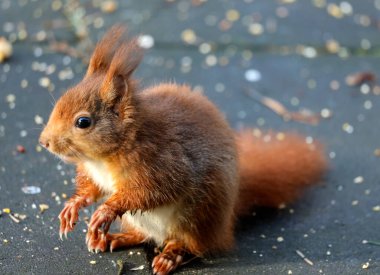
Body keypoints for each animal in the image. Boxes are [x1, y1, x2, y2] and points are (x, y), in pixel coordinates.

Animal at [40, 25, 328, 274]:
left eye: (83, 122)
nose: (44, 142)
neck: (103, 158)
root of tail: (226, 221)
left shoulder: (162, 164)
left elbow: (148, 192)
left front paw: (106, 210)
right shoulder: (95, 173)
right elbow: (91, 189)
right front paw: (75, 205)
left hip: (197, 214)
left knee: (192, 245)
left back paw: (169, 256)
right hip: (150, 220)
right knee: (142, 235)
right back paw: (115, 238)